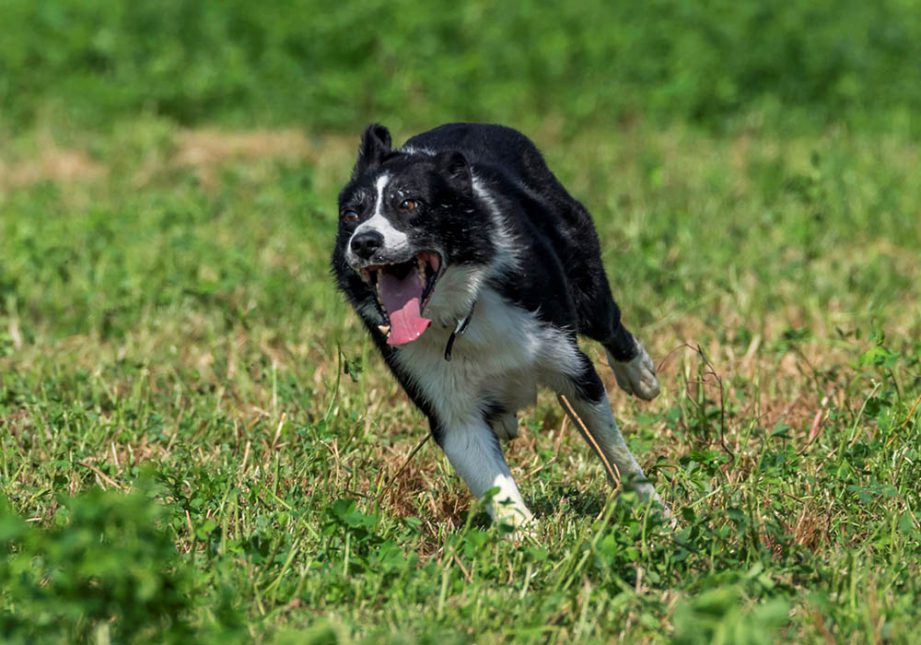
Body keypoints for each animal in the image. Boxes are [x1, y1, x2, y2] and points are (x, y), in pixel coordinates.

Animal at [334, 123, 664, 524]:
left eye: (409, 204)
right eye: (351, 215)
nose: (364, 242)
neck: (462, 313)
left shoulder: (568, 364)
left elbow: (614, 448)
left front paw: (655, 510)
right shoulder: (448, 408)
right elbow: (497, 489)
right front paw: (528, 537)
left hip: (584, 277)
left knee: (611, 325)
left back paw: (639, 375)